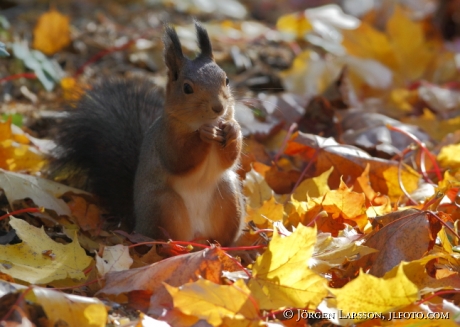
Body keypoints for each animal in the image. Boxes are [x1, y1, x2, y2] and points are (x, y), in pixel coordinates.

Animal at [52, 22, 246, 246]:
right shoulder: (165, 139)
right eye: (187, 88)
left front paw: (233, 128)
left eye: (227, 79)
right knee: (162, 239)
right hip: (163, 205)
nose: (218, 107)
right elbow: (179, 160)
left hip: (229, 198)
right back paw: (173, 247)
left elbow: (228, 160)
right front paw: (204, 134)